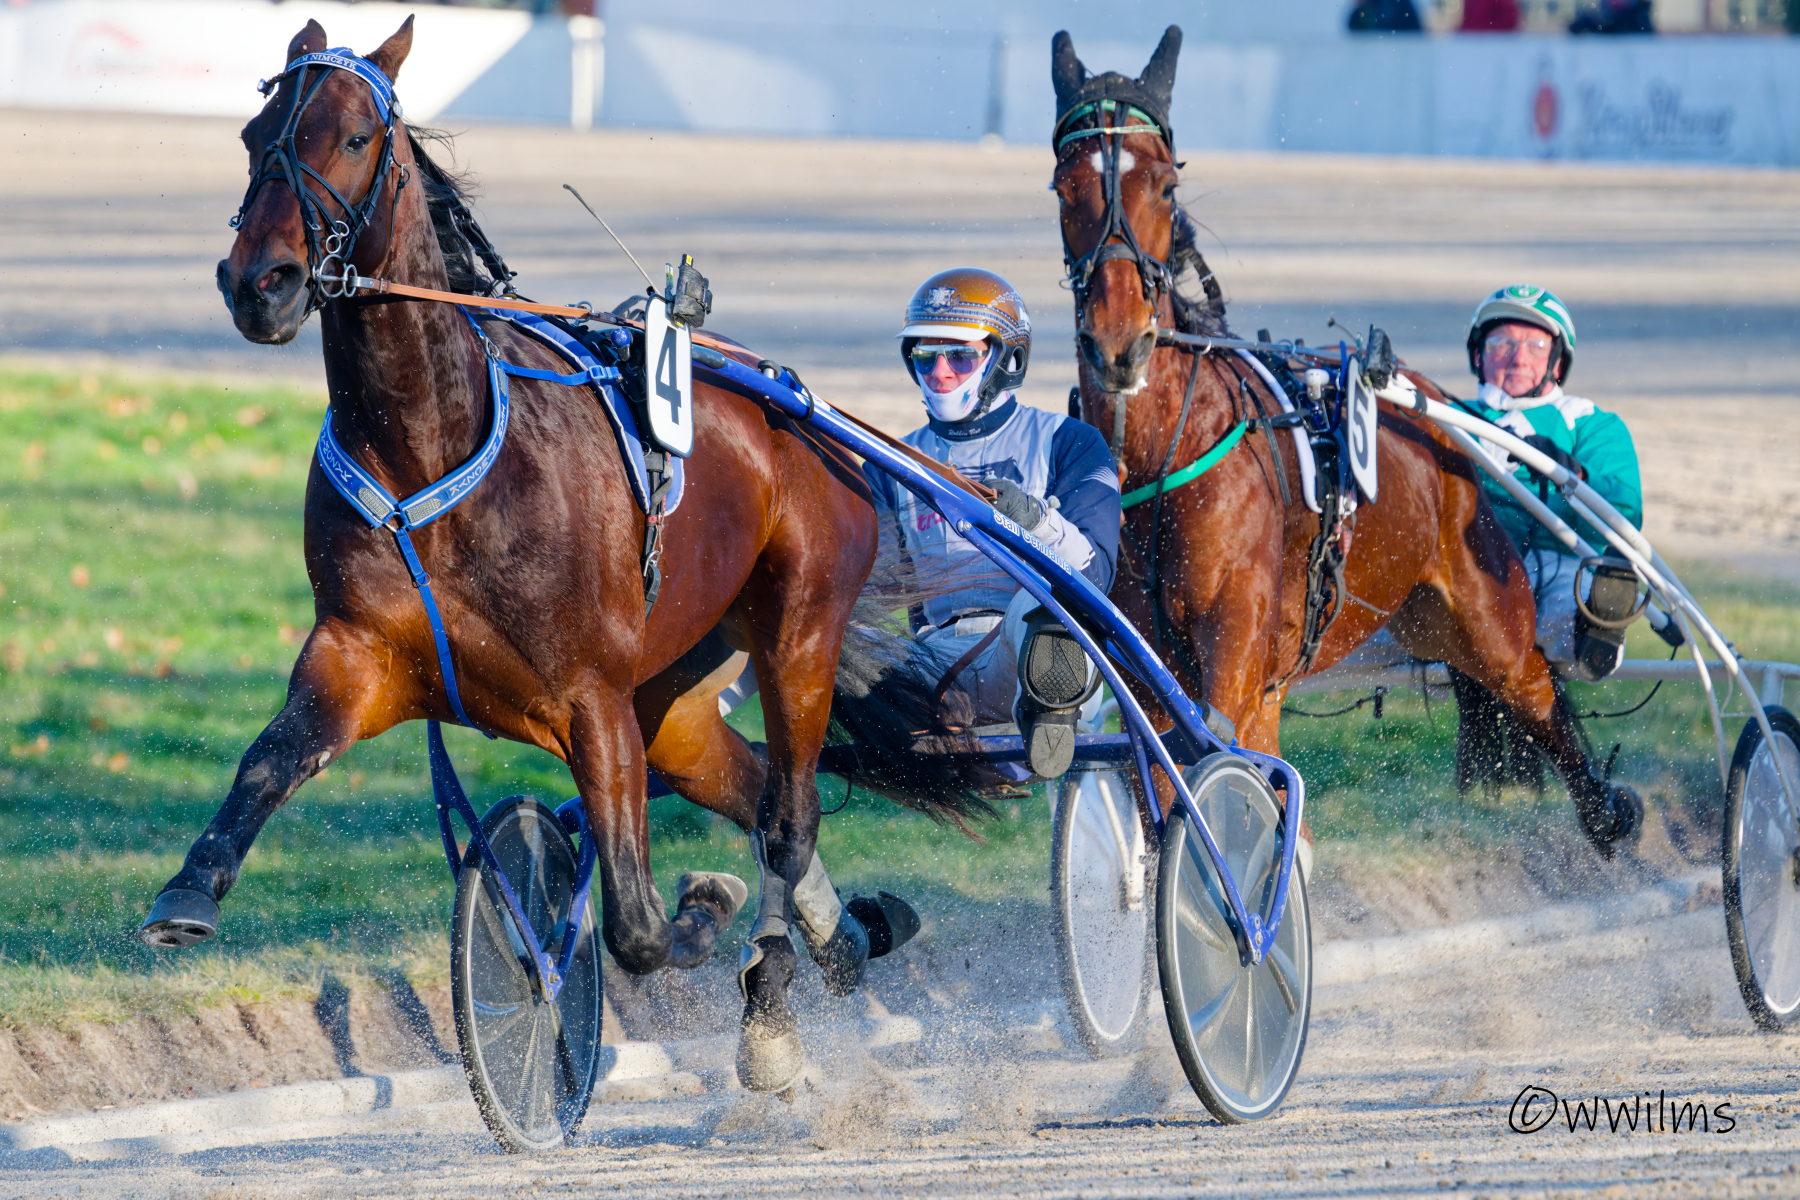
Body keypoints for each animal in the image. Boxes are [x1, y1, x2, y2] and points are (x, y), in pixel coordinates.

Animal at [135, 16, 992, 1095]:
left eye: (355, 138)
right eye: (254, 137)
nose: (261, 284)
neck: (432, 444)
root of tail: (792, 400)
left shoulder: (590, 697)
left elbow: (635, 926)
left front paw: (699, 912)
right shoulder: (357, 653)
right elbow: (268, 760)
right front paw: (188, 890)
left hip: (798, 628)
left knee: (788, 817)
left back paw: (770, 999)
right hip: (674, 697)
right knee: (751, 787)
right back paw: (843, 942)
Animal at [1048, 27, 1643, 857]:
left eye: (1165, 188)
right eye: (1063, 187)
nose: (1117, 344)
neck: (1163, 457)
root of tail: (1429, 408)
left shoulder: (1233, 653)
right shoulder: (1150, 668)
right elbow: (1169, 796)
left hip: (1483, 613)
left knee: (1535, 686)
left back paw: (1607, 810)